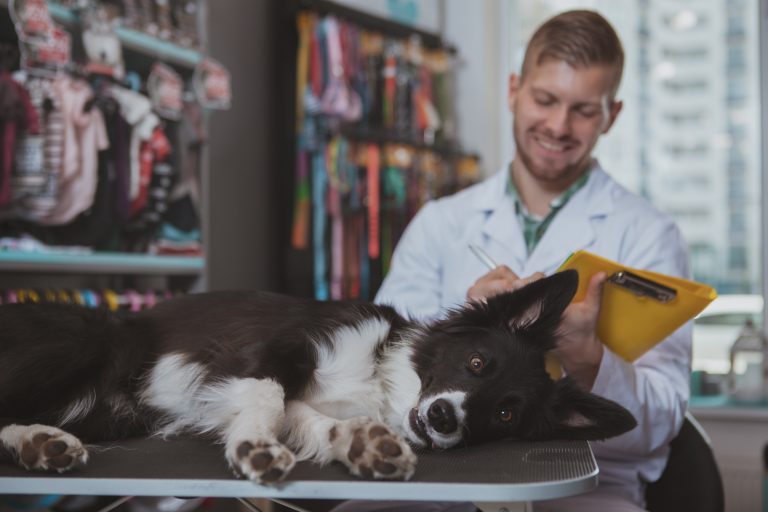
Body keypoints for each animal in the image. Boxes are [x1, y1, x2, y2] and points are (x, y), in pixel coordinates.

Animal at [0, 270, 636, 482]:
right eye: (477, 363)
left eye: (503, 413)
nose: (442, 417)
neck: (384, 381)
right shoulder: (265, 354)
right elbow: (272, 398)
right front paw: (254, 447)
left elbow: (308, 417)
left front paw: (362, 445)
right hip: (90, 342)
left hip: (110, 408)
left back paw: (40, 443)